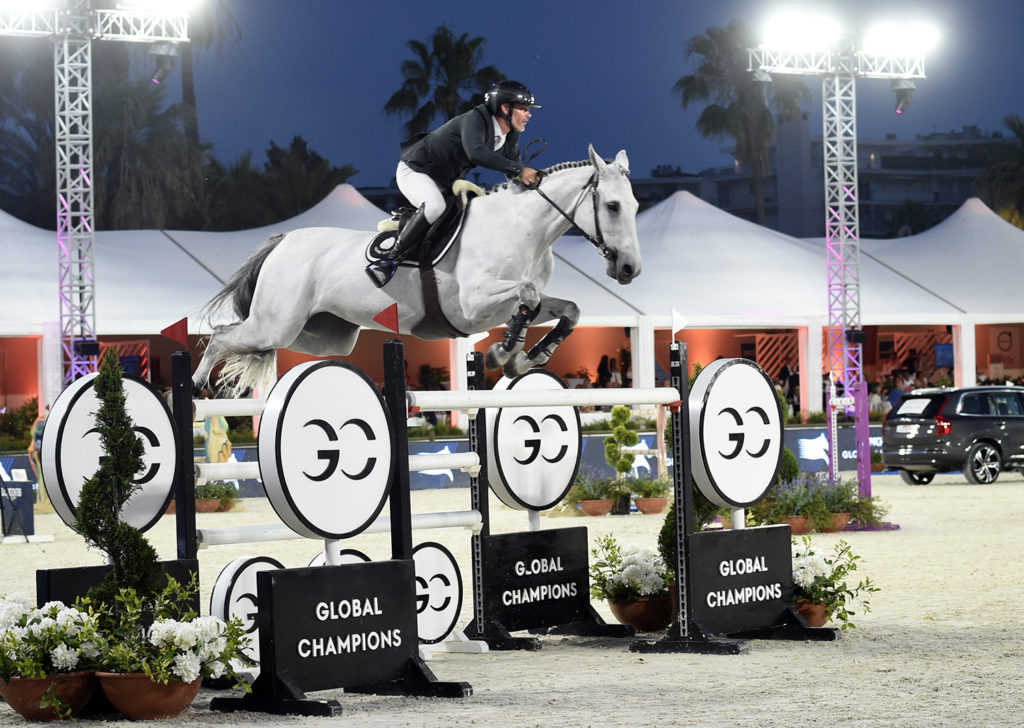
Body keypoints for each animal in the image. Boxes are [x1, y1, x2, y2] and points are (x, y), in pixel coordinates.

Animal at [192, 145, 638, 395]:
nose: (630, 268)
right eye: (612, 206)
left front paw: (529, 357)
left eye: (634, 205)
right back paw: (195, 388)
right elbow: (526, 296)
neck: (524, 228)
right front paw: (505, 352)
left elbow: (566, 310)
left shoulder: (510, 303)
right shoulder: (475, 305)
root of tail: (283, 240)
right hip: (274, 324)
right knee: (221, 335)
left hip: (320, 335)